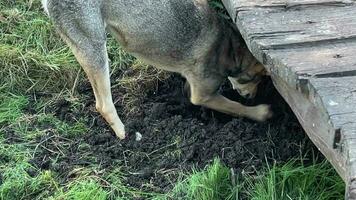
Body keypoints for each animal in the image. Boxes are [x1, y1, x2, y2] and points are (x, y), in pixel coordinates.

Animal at [41, 0, 272, 139]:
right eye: (257, 77)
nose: (252, 96)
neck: (229, 48)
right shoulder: (203, 95)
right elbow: (235, 107)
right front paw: (260, 112)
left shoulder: (192, 87)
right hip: (96, 50)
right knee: (103, 105)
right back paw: (125, 134)